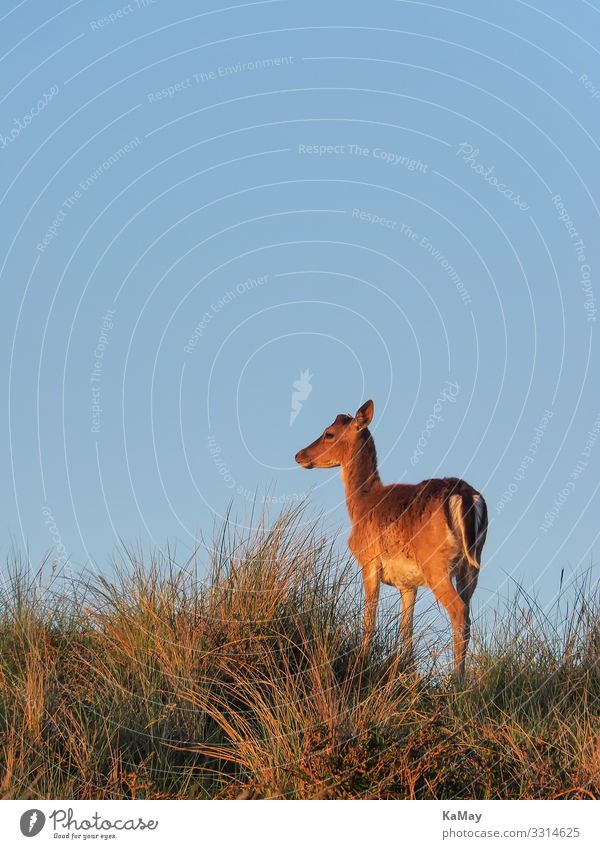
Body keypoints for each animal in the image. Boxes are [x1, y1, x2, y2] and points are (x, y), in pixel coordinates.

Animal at [296, 400, 488, 676]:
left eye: (328, 433)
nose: (299, 455)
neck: (362, 505)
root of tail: (465, 495)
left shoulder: (369, 561)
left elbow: (369, 619)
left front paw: (364, 660)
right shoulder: (407, 584)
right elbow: (406, 629)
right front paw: (406, 668)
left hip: (436, 564)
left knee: (459, 611)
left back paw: (457, 679)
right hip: (473, 564)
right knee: (468, 612)